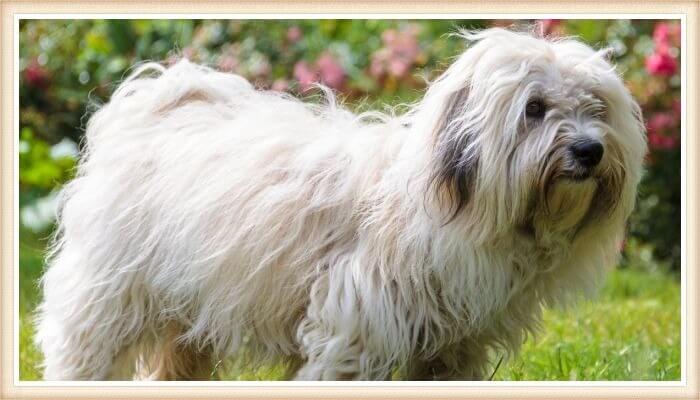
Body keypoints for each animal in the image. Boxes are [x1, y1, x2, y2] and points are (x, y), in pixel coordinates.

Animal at [32, 28, 644, 382]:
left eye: (597, 108)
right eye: (534, 108)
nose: (589, 150)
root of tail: (156, 103)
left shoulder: (453, 348)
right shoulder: (355, 330)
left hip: (186, 318)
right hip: (109, 299)